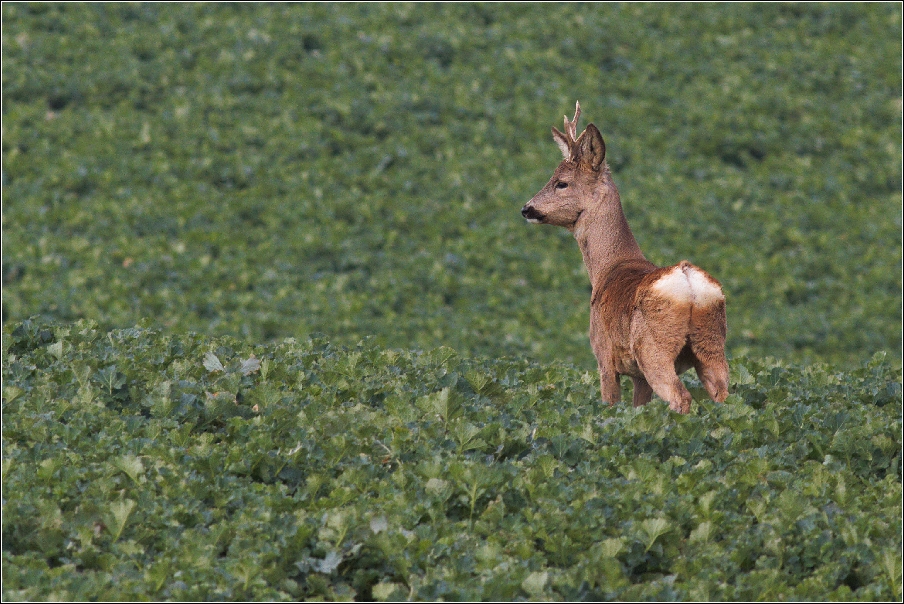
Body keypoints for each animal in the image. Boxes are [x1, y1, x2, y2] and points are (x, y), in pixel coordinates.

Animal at [524, 104, 728, 416]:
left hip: (654, 347)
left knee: (680, 396)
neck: (607, 268)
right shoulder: (638, 376)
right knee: (726, 396)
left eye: (561, 183)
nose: (527, 208)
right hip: (712, 342)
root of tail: (690, 284)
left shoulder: (604, 357)